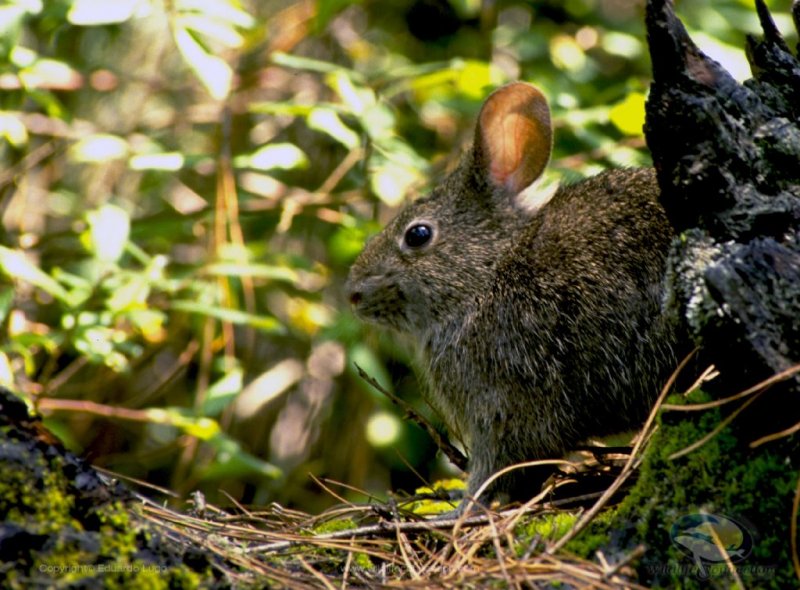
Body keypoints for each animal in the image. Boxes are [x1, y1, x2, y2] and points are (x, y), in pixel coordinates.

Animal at [346, 82, 680, 508]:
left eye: (418, 235)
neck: (487, 274)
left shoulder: (504, 402)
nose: (353, 293)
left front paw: (458, 508)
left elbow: (498, 467)